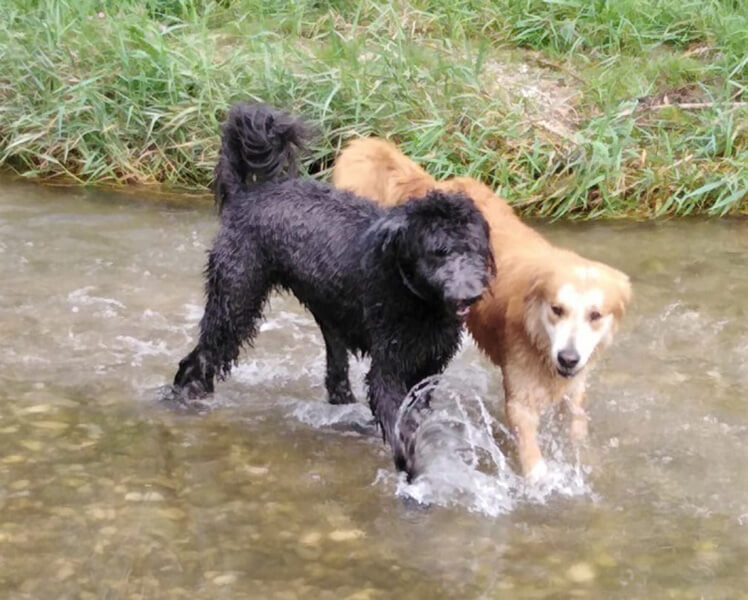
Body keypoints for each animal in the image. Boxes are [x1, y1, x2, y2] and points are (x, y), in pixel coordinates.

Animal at [169, 105, 494, 477]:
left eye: (473, 248)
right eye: (439, 252)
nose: (469, 293)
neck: (413, 292)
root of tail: (244, 196)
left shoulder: (429, 367)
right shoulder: (389, 368)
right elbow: (399, 424)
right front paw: (414, 470)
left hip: (329, 319)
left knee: (335, 378)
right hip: (235, 299)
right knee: (200, 358)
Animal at [332, 138, 631, 479]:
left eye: (595, 315)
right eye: (557, 309)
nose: (568, 358)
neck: (539, 340)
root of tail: (438, 186)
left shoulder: (575, 388)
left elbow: (577, 427)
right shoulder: (520, 399)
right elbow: (531, 453)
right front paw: (542, 481)